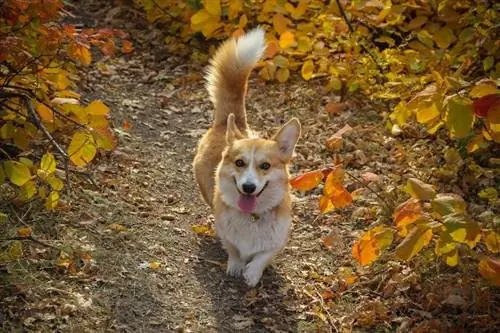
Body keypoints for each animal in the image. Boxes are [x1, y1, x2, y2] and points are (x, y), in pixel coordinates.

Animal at [192, 27, 300, 286]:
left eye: (265, 166)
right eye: (240, 163)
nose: (248, 188)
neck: (252, 217)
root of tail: (231, 123)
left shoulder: (278, 241)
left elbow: (263, 255)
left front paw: (252, 273)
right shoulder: (225, 232)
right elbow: (233, 249)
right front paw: (236, 265)